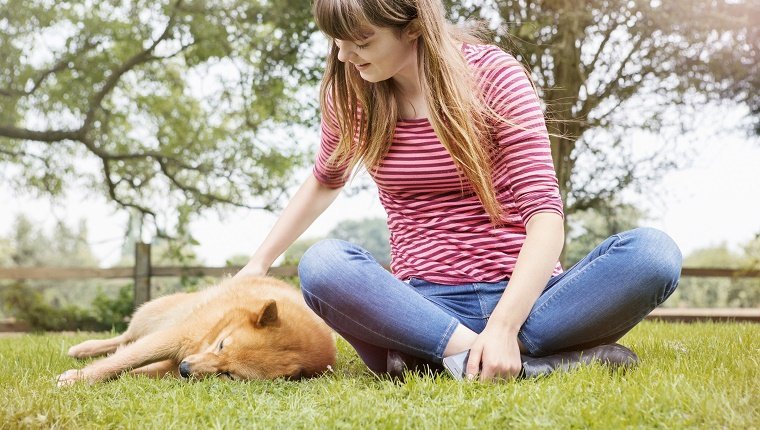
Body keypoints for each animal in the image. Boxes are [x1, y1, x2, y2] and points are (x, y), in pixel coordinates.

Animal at [56, 276, 336, 386]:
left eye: (228, 374)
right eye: (222, 345)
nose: (185, 369)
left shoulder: (170, 364)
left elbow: (131, 369)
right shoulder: (174, 337)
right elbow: (122, 361)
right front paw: (78, 378)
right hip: (150, 317)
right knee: (124, 339)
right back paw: (83, 348)